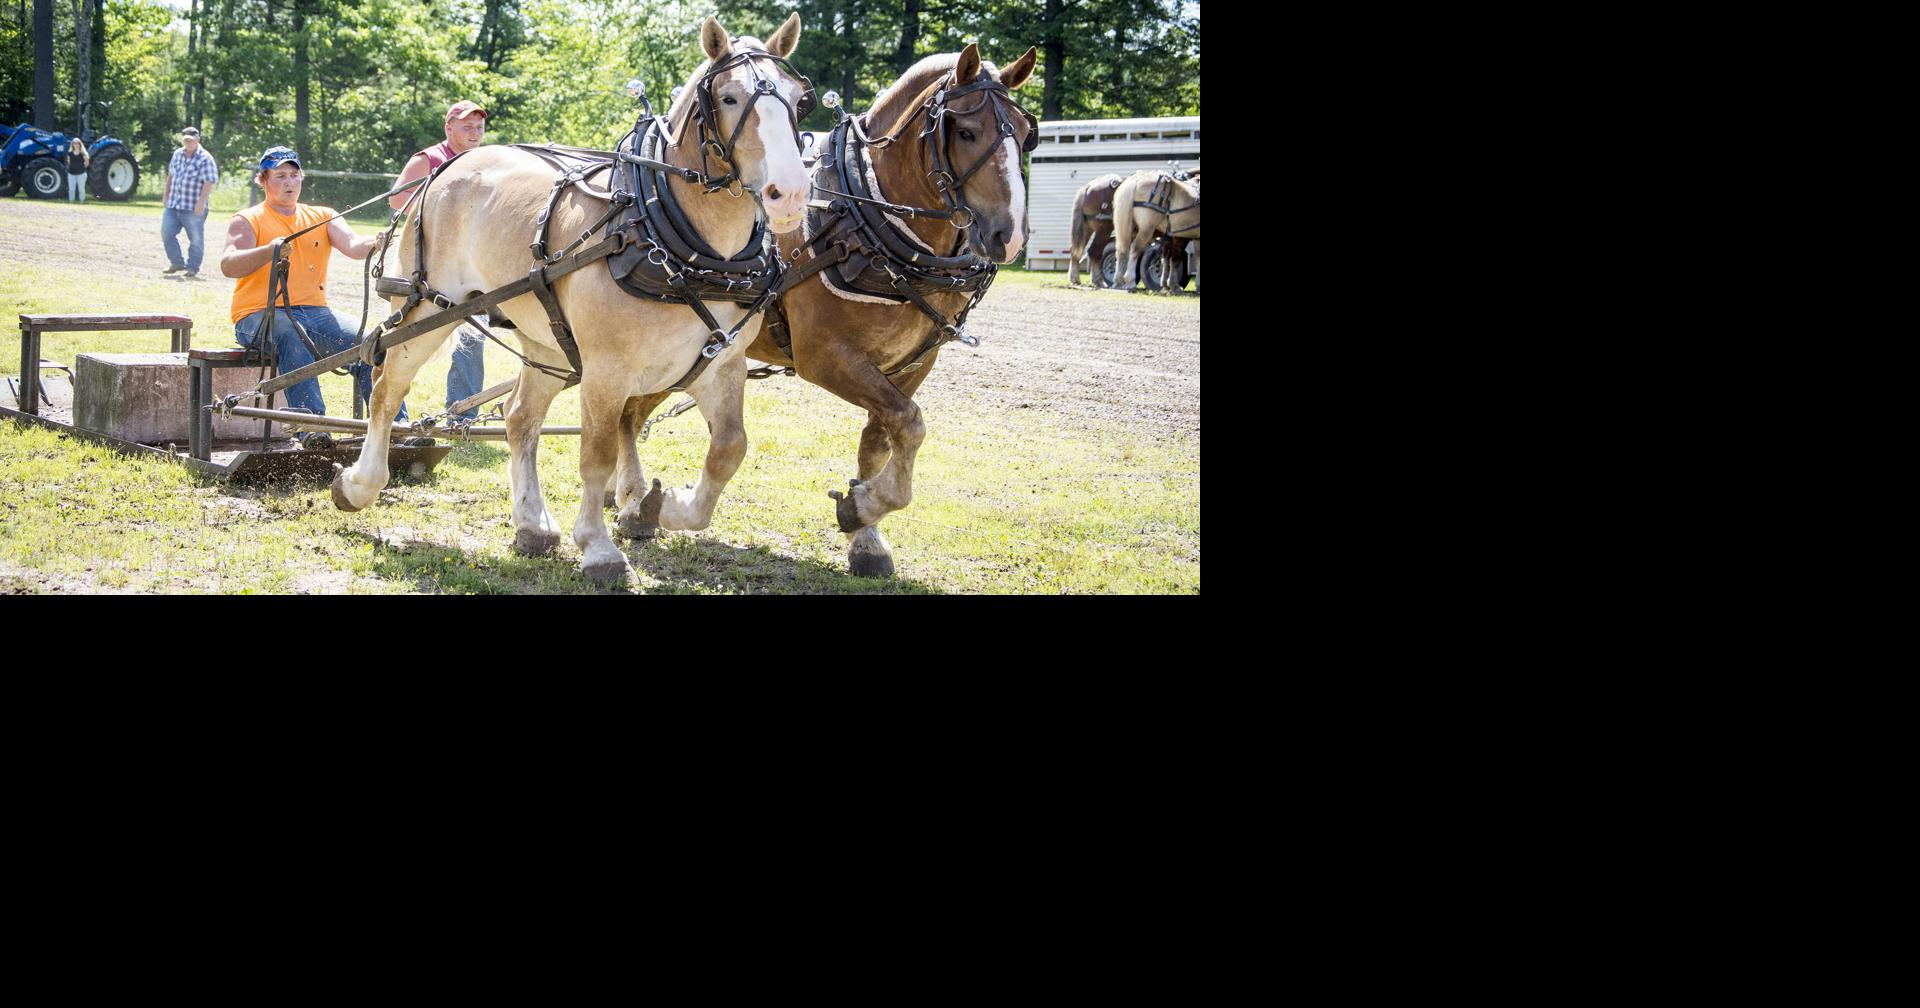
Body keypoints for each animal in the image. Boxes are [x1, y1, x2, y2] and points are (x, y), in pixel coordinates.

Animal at [330, 14, 814, 585]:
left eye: (799, 101)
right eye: (731, 97)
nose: (791, 192)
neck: (682, 246)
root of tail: (448, 167)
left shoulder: (723, 363)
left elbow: (728, 449)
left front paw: (662, 506)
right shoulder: (607, 371)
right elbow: (597, 455)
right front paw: (601, 548)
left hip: (549, 342)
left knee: (520, 418)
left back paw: (532, 525)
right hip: (426, 308)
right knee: (386, 388)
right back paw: (359, 485)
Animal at [700, 42, 1039, 577]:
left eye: (1027, 135)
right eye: (966, 132)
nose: (1011, 236)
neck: (864, 216)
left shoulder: (914, 362)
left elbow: (882, 437)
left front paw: (867, 533)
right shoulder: (826, 357)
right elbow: (911, 423)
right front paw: (864, 506)